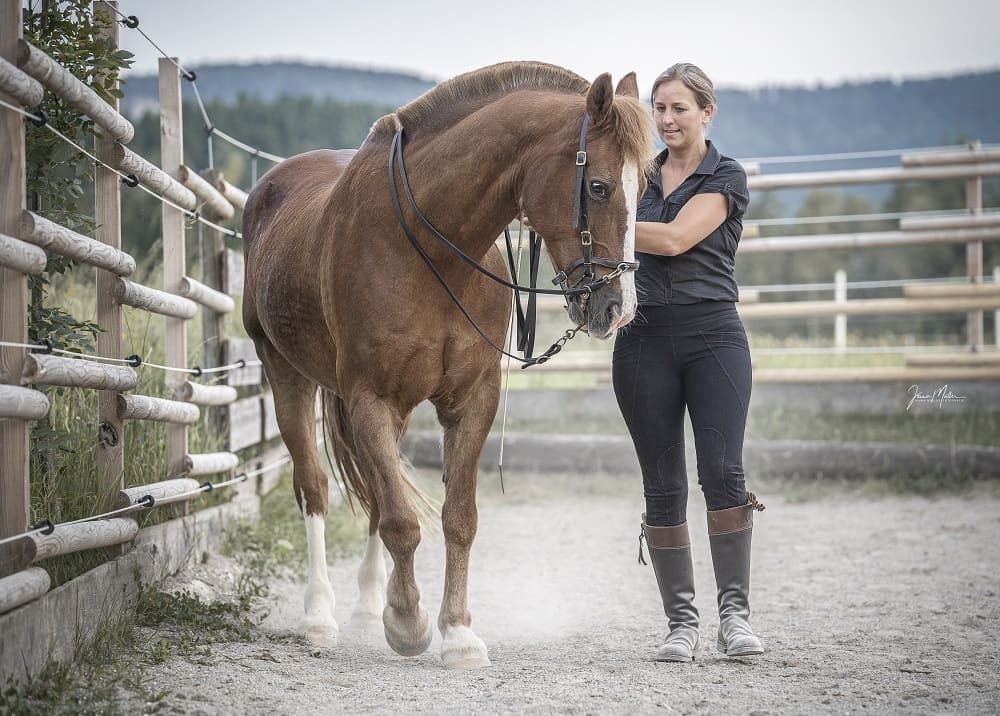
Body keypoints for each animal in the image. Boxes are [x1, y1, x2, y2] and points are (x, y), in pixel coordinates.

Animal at [243, 61, 656, 672]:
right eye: (599, 186)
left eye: (645, 187)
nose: (616, 308)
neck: (428, 247)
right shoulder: (370, 399)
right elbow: (401, 520)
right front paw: (408, 621)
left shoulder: (471, 400)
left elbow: (455, 518)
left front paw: (457, 631)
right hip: (286, 374)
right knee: (314, 487)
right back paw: (320, 615)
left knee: (373, 491)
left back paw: (368, 601)